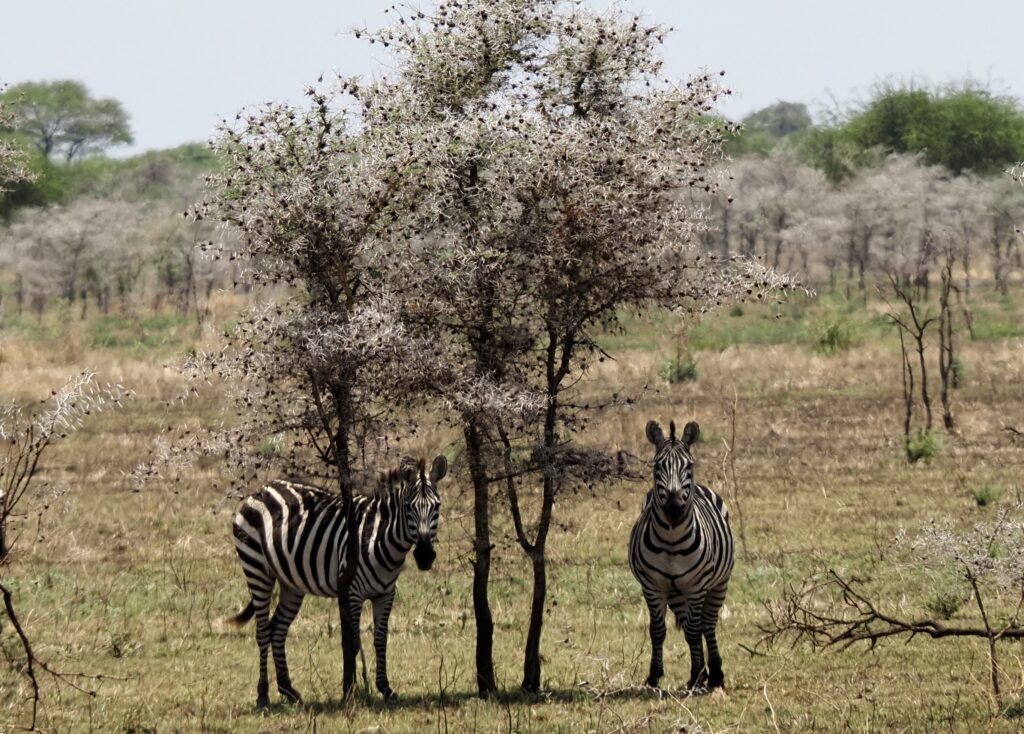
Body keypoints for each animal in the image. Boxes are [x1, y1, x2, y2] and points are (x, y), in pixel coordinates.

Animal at [230, 454, 446, 708]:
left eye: (437, 507)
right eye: (408, 507)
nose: (425, 556)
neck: (380, 536)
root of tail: (263, 488)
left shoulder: (385, 594)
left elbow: (380, 638)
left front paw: (385, 688)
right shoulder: (352, 592)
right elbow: (353, 642)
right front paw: (353, 690)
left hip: (291, 584)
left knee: (278, 629)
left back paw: (288, 690)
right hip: (256, 567)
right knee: (263, 631)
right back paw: (263, 694)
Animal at [626, 421, 733, 692]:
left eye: (689, 466)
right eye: (657, 466)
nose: (674, 508)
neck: (671, 540)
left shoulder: (696, 586)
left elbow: (696, 631)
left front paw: (697, 675)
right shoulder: (652, 587)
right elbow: (657, 630)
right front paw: (654, 676)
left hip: (718, 584)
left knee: (707, 624)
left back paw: (715, 674)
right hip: (677, 594)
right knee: (688, 625)